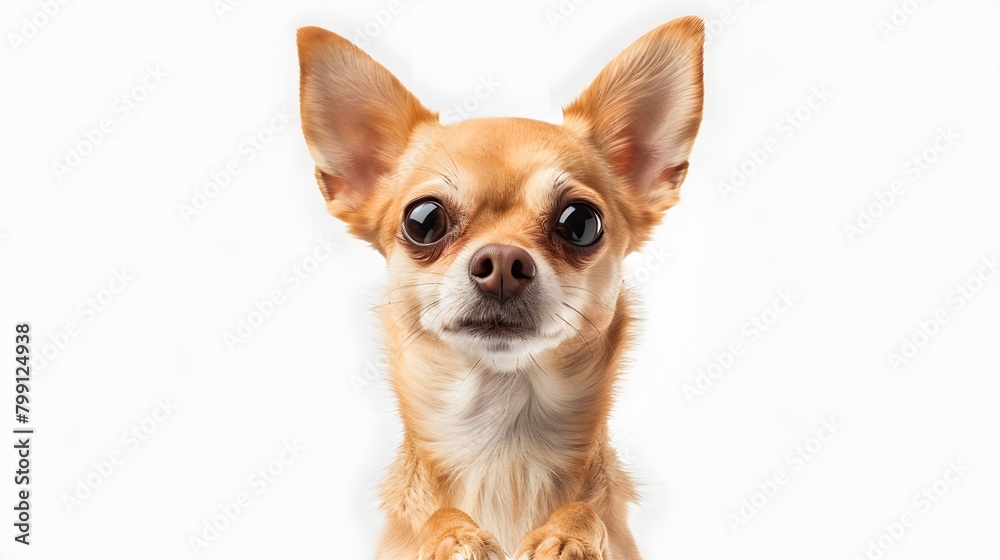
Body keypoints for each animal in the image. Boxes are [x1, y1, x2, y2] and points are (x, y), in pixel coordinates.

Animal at [294, 16, 704, 560]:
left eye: (581, 222)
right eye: (423, 220)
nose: (504, 263)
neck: (504, 450)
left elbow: (586, 510)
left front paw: (565, 534)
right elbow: (439, 517)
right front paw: (452, 534)